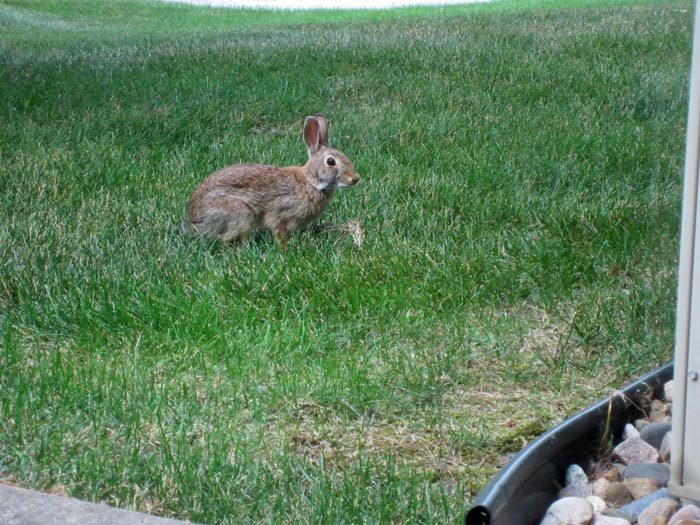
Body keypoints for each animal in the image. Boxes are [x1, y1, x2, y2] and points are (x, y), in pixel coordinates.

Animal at [180, 113, 360, 249]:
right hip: (239, 213)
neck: (311, 182)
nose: (355, 179)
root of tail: (195, 219)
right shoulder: (281, 215)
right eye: (331, 161)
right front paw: (286, 250)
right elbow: (279, 234)